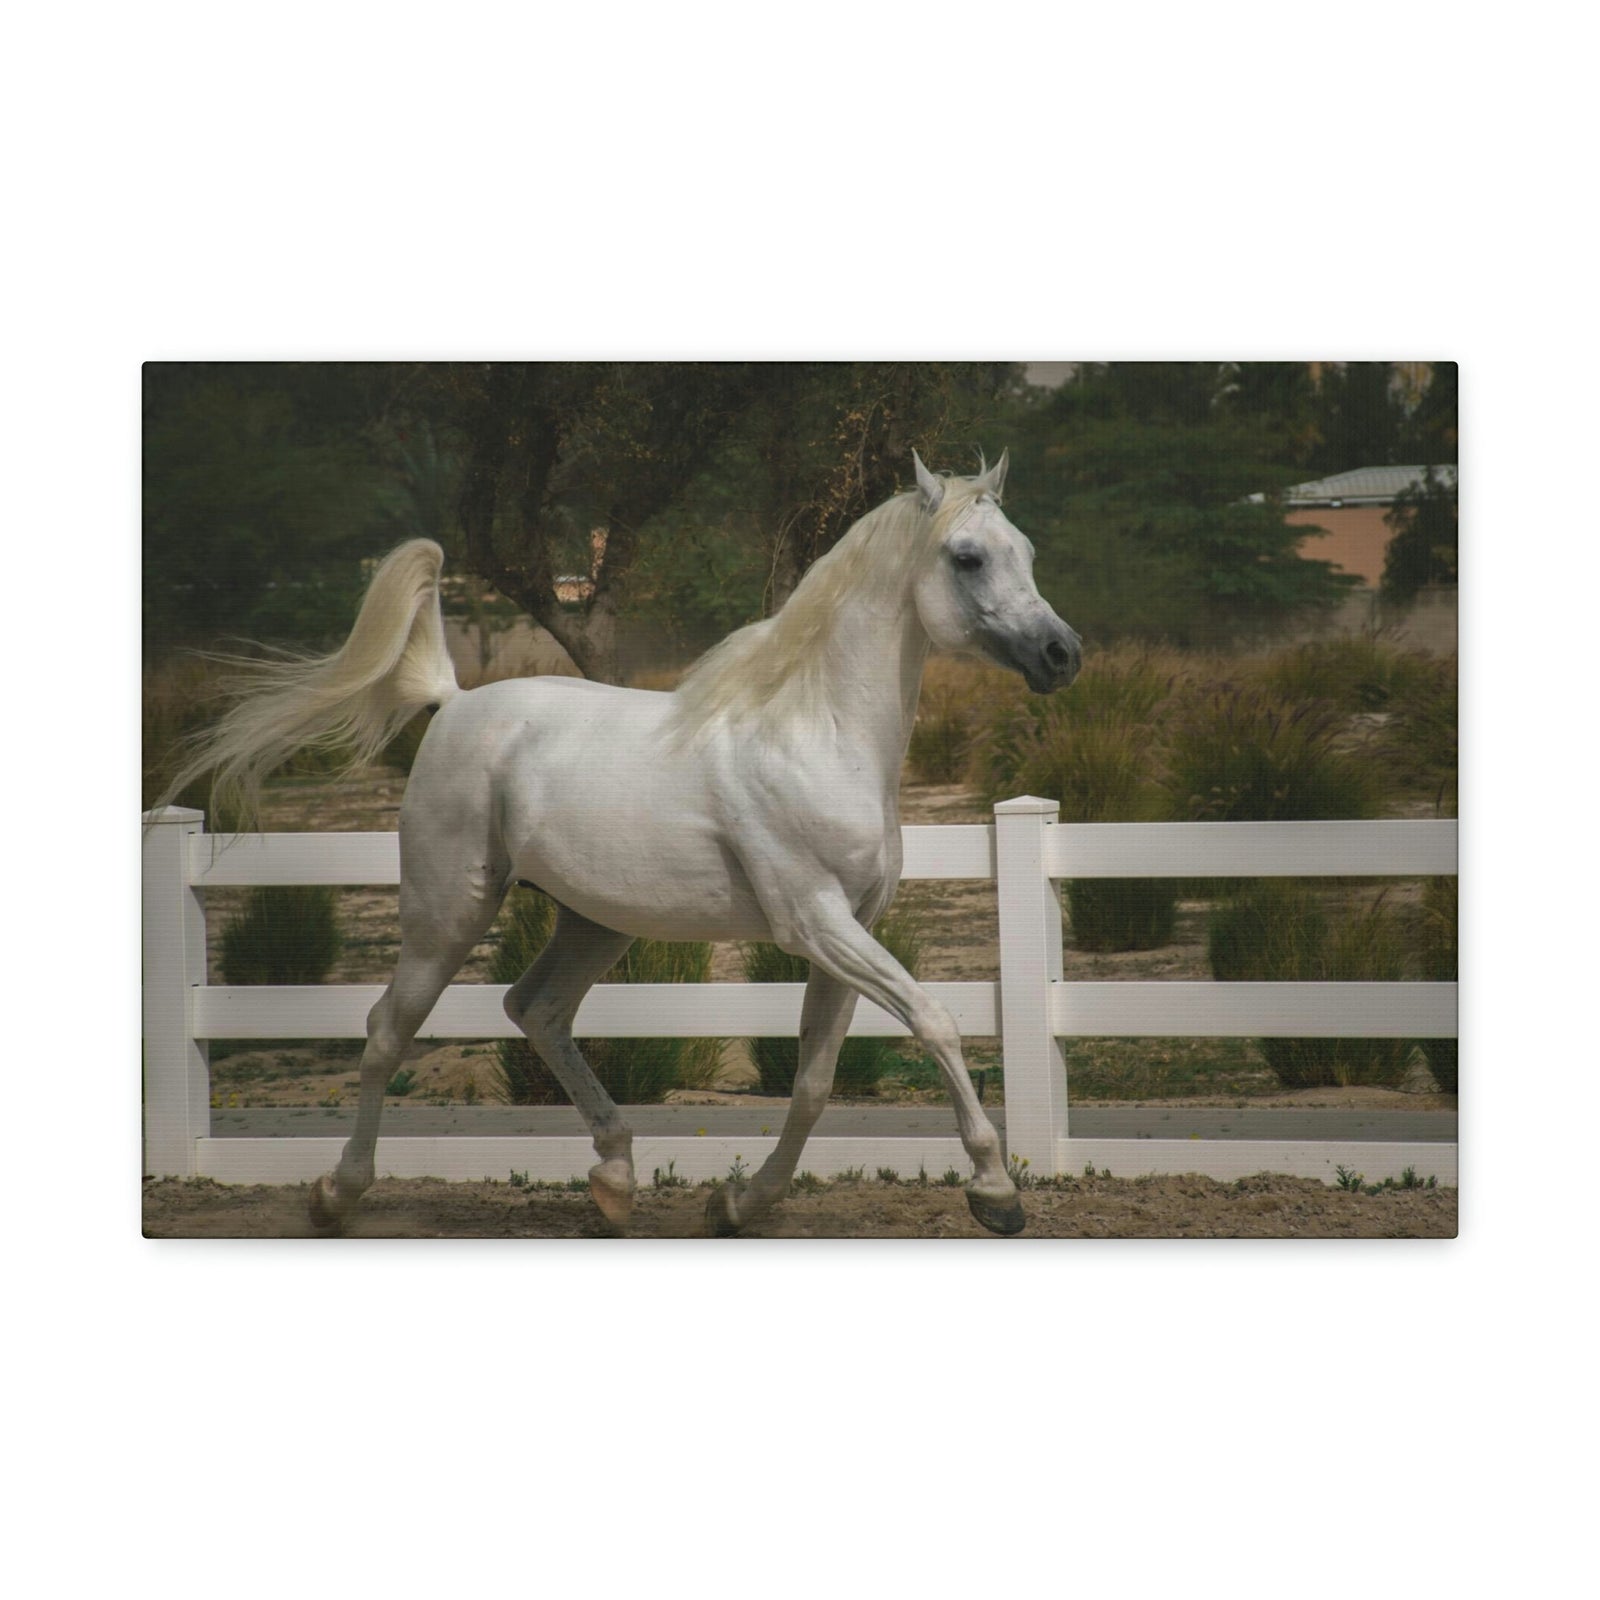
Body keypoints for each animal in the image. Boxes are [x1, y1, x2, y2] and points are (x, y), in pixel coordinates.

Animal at [168, 449, 1081, 1236]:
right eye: (967, 556)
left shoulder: (849, 929)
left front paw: (737, 1205)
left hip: (593, 921)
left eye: (1030, 551)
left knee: (534, 1009)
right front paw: (996, 1193)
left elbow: (815, 1084)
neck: (815, 733)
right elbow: (936, 1022)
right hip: (448, 911)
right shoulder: (814, 922)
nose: (1061, 654)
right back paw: (336, 1195)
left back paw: (613, 1179)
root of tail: (455, 700)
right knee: (390, 1027)